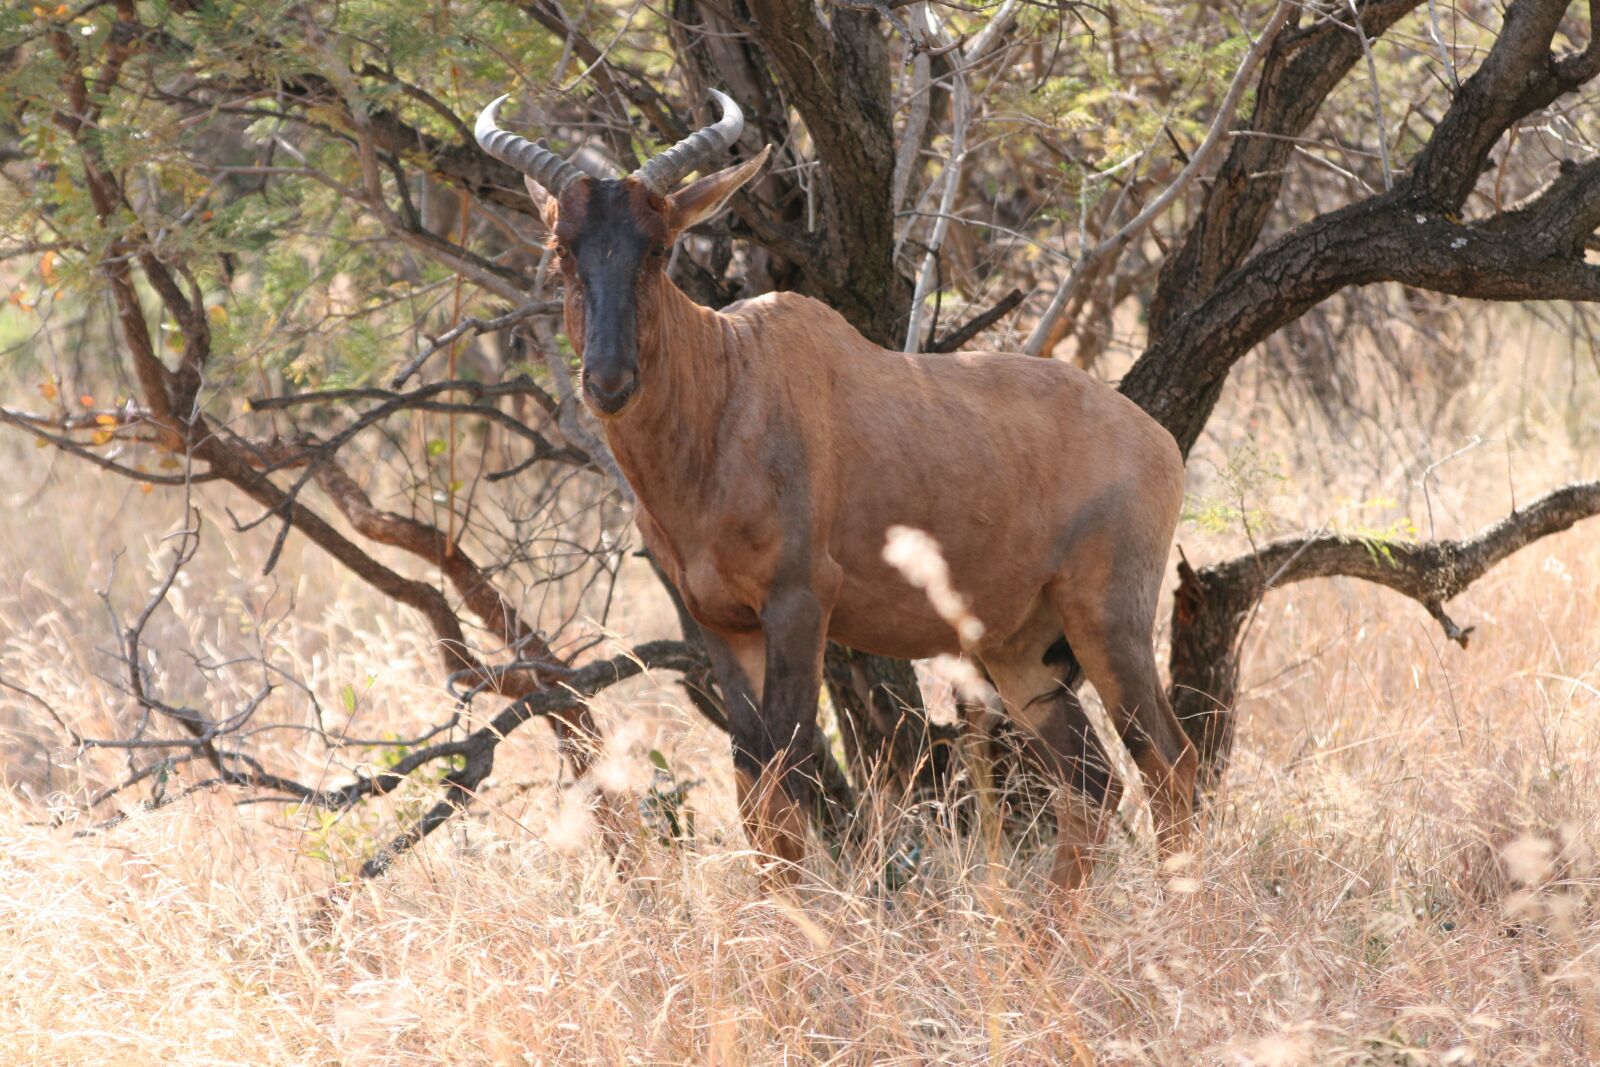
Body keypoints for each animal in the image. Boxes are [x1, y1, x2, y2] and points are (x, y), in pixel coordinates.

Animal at [476, 91, 1197, 890]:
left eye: (659, 247)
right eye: (561, 247)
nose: (607, 382)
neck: (730, 384)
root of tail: (1155, 439)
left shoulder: (800, 604)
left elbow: (787, 780)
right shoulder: (722, 622)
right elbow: (752, 787)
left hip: (1107, 618)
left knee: (1170, 762)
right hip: (1021, 646)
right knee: (1093, 780)